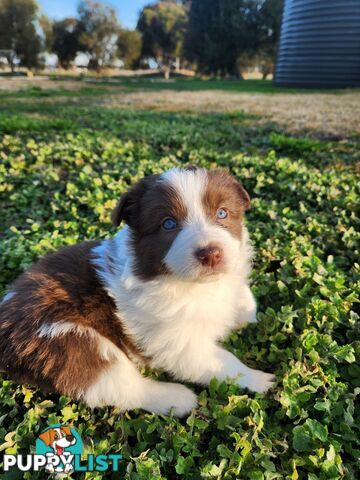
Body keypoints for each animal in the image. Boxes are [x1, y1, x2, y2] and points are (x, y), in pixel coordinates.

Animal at [0, 167, 274, 414]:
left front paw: (244, 311)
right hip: (68, 342)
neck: (191, 284)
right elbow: (221, 362)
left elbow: (243, 299)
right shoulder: (181, 343)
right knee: (115, 385)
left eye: (222, 213)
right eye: (168, 224)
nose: (211, 254)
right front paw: (260, 379)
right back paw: (177, 399)